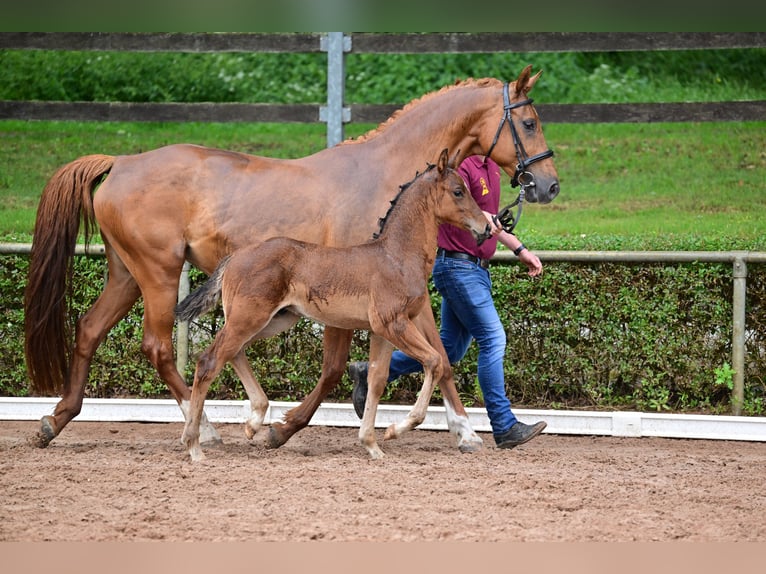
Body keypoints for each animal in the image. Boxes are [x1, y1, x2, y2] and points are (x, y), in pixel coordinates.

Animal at [176, 150, 492, 464]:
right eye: (458, 191)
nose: (487, 227)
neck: (396, 256)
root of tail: (236, 256)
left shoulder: (381, 331)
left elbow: (377, 379)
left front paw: (372, 445)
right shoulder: (393, 323)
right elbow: (434, 361)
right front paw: (395, 429)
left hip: (272, 321)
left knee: (233, 353)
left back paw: (254, 422)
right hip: (249, 318)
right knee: (209, 361)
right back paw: (195, 445)